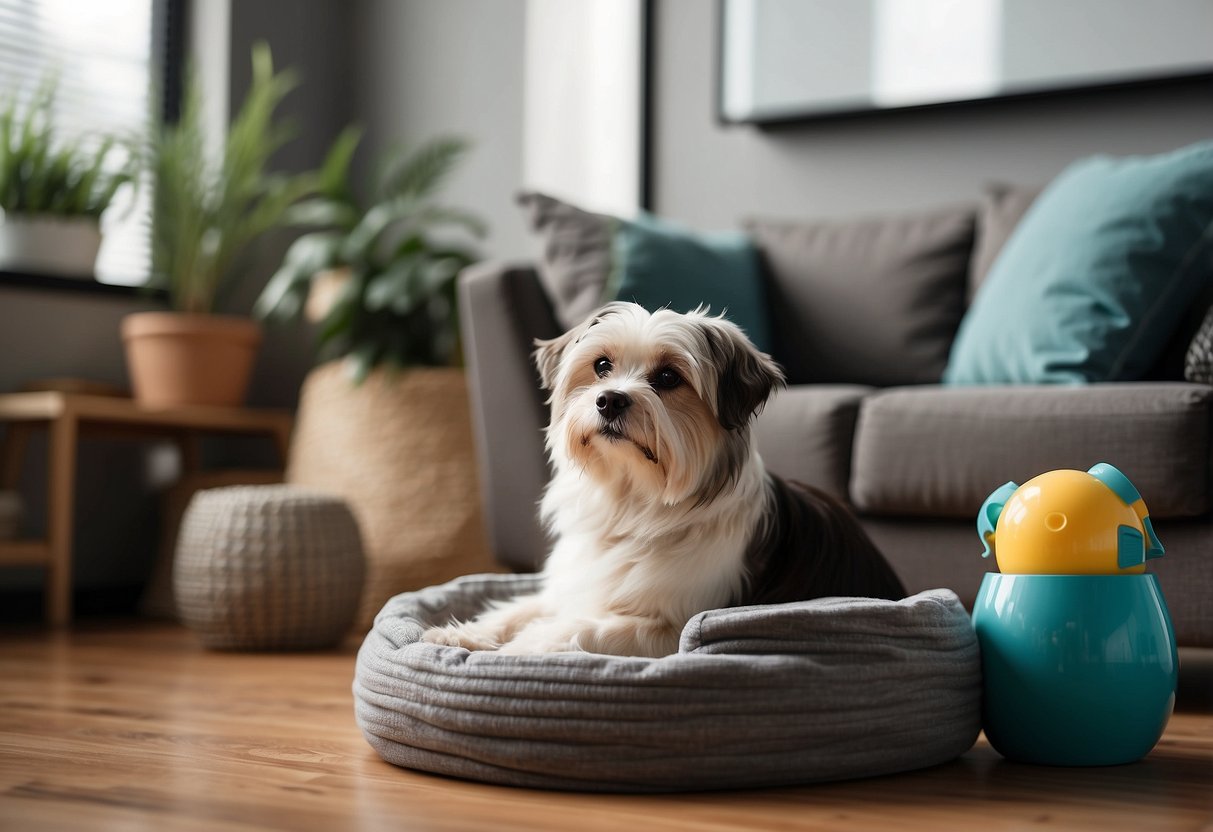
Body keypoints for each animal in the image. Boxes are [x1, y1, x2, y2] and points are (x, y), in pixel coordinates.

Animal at [422, 303, 907, 659]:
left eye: (669, 377)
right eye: (601, 365)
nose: (609, 400)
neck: (633, 500)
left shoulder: (673, 627)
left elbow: (579, 629)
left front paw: (519, 648)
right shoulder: (572, 585)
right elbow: (519, 608)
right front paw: (463, 634)